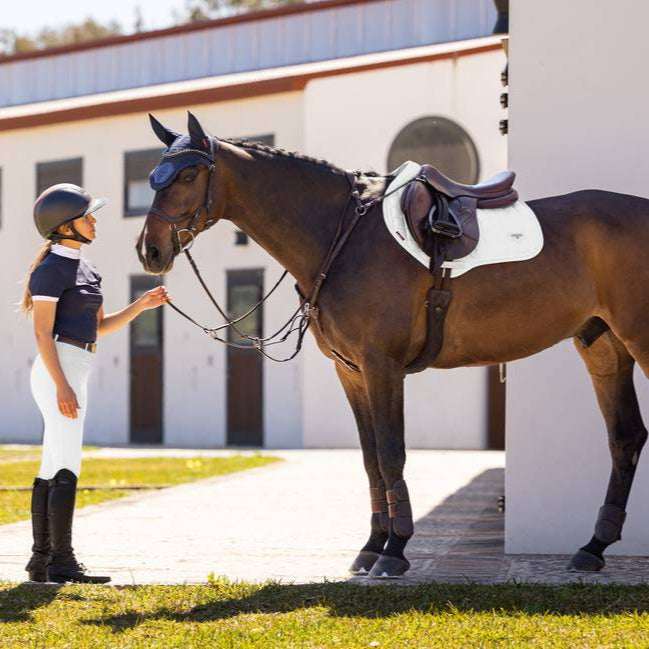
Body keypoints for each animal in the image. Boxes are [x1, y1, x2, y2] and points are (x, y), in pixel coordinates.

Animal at [137, 112, 648, 576]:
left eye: (188, 175)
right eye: (153, 177)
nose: (150, 250)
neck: (341, 236)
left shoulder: (382, 364)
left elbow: (390, 451)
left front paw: (395, 550)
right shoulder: (351, 371)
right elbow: (370, 460)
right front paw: (371, 546)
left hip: (639, 338)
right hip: (602, 345)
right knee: (625, 437)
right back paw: (592, 548)